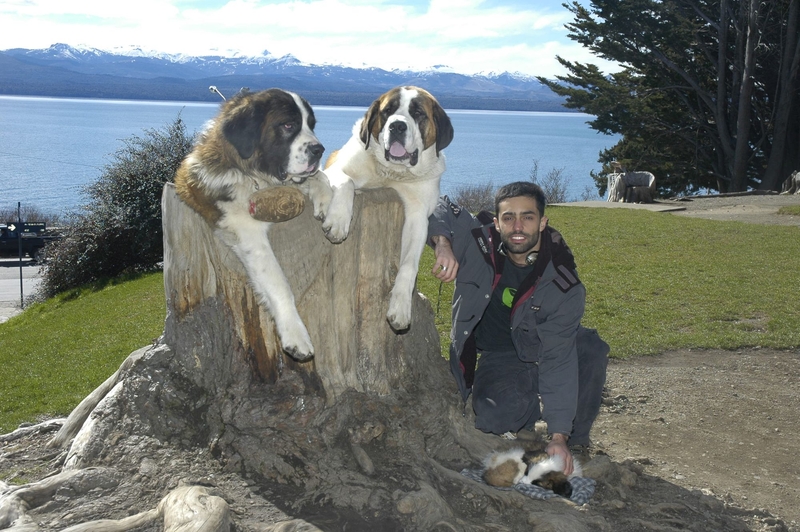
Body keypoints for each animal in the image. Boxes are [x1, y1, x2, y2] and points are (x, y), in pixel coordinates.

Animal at [175, 88, 334, 362]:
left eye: (311, 125)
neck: (249, 172)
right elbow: (277, 281)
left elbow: (319, 177)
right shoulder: (246, 230)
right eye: (288, 125)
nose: (319, 149)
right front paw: (295, 333)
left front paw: (329, 204)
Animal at [320, 85, 456, 330]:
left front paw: (400, 308)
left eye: (418, 113)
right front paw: (338, 222)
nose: (397, 125)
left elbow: (409, 265)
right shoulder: (335, 169)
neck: (392, 174)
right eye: (387, 111)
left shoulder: (418, 215)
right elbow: (346, 181)